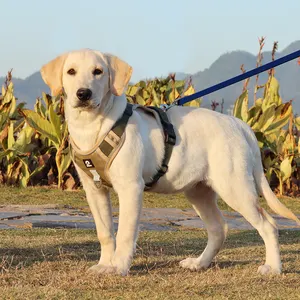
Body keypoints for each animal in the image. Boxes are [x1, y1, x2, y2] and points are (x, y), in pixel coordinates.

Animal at [41, 49, 298, 276]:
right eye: (71, 71)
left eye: (98, 71)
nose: (83, 94)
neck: (93, 126)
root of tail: (239, 124)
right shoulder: (94, 190)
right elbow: (105, 232)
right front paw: (105, 264)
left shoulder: (131, 188)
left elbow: (124, 233)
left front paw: (119, 267)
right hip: (199, 191)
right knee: (219, 228)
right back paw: (199, 263)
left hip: (235, 188)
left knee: (268, 225)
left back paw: (273, 268)